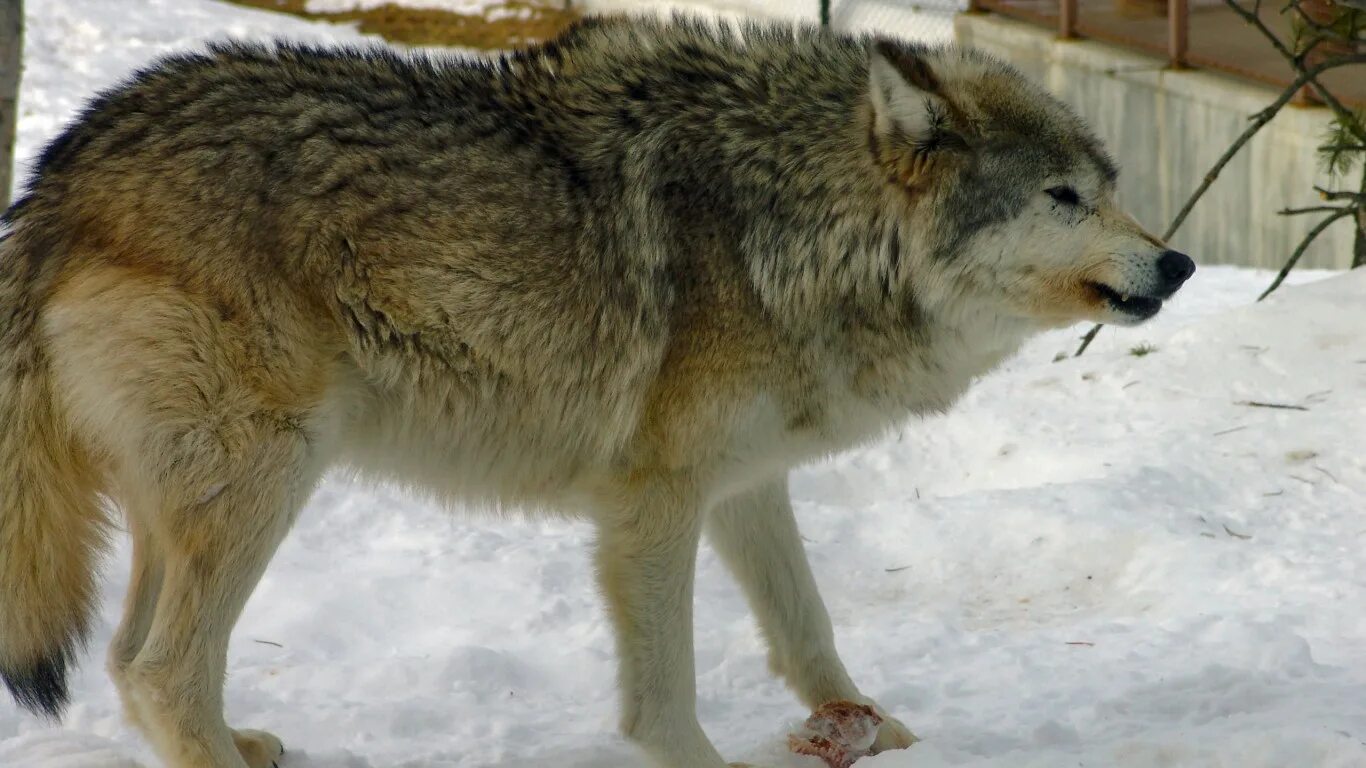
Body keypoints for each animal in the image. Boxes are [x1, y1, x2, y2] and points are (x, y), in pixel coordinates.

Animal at [0, 13, 1196, 765]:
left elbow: (807, 623)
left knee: (126, 659)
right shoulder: (651, 503)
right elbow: (665, 693)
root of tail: (60, 168)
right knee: (163, 669)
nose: (1179, 264)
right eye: (1063, 195)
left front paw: (868, 726)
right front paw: (714, 764)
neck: (796, 228)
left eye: (1111, 189)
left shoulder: (745, 485)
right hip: (267, 477)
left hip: (196, 501)